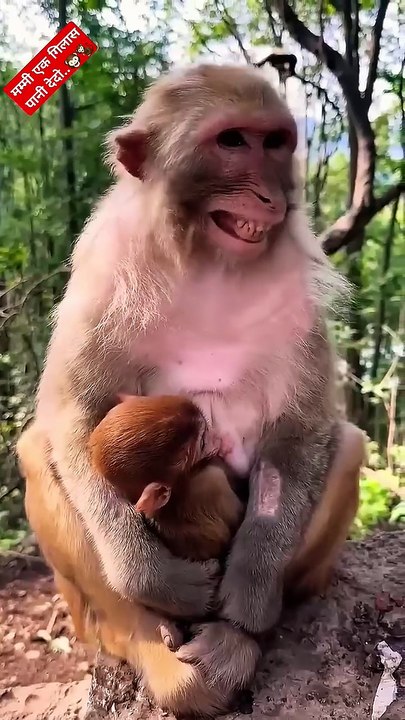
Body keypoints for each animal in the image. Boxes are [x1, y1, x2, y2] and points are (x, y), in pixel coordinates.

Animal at [18, 62, 366, 713]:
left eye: (274, 142)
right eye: (232, 142)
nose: (269, 194)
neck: (209, 260)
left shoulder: (299, 298)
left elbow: (299, 431)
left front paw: (246, 600)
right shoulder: (103, 268)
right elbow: (75, 415)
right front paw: (156, 581)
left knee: (348, 443)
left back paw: (237, 640)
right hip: (84, 615)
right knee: (36, 449)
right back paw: (140, 634)